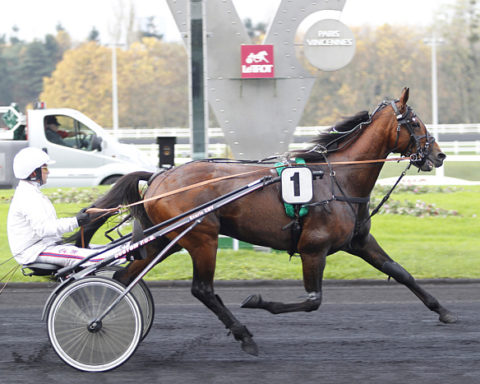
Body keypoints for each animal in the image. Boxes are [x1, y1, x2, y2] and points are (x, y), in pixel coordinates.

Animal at [74, 88, 454, 356]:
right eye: (415, 122)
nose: (439, 155)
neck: (338, 178)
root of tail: (158, 176)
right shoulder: (313, 248)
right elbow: (313, 300)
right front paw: (258, 301)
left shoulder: (359, 242)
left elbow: (401, 272)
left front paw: (444, 311)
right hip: (201, 237)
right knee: (201, 289)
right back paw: (243, 334)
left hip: (163, 240)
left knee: (124, 278)